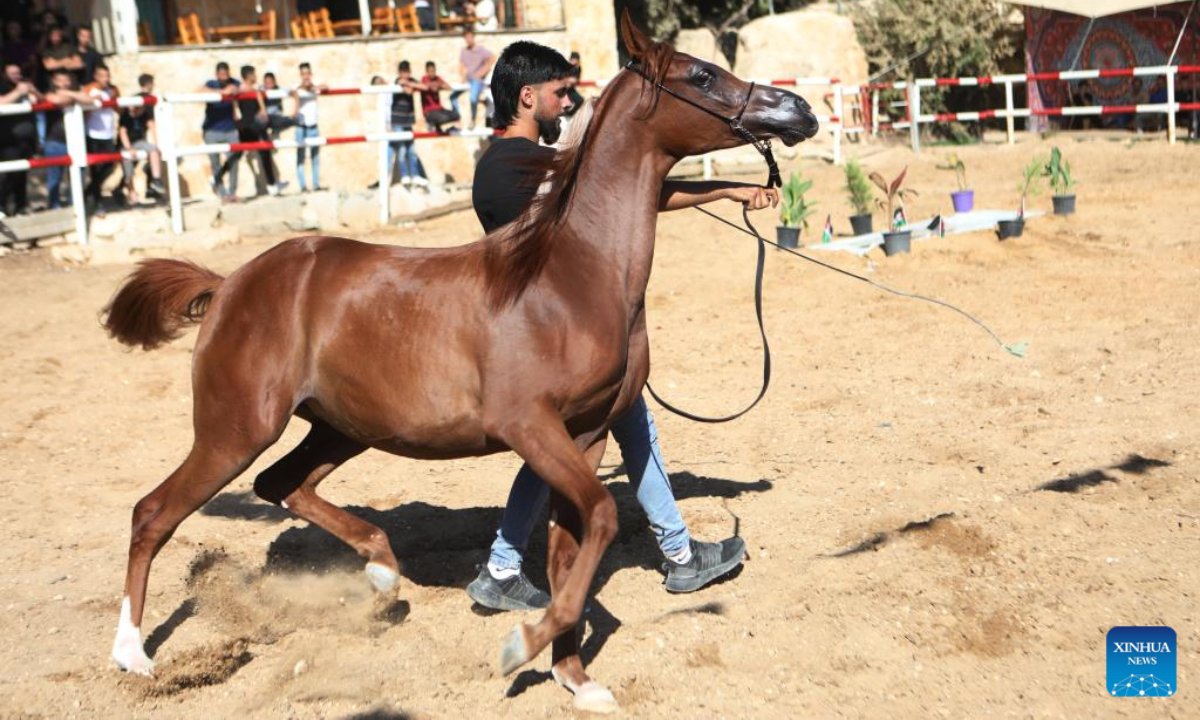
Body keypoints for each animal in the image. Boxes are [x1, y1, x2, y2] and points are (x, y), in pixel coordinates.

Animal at [102, 13, 817, 710]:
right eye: (703, 75)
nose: (800, 109)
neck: (569, 277)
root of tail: (229, 284)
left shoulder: (584, 436)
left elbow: (572, 550)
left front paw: (575, 677)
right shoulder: (529, 427)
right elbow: (604, 520)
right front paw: (520, 647)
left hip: (340, 427)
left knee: (281, 484)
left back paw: (382, 571)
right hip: (237, 428)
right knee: (153, 513)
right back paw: (134, 655)